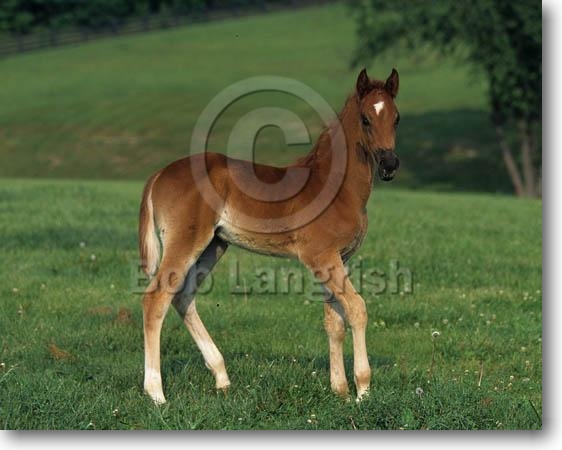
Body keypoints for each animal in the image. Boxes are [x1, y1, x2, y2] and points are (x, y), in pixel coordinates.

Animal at [138, 68, 400, 404]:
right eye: (366, 119)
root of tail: (159, 174)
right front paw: (363, 389)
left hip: (215, 245)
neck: (336, 187)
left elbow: (334, 321)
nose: (390, 164)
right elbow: (356, 309)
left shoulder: (337, 259)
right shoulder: (321, 257)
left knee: (183, 296)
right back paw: (157, 393)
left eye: (396, 118)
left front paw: (339, 390)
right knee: (156, 299)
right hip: (185, 242)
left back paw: (222, 377)